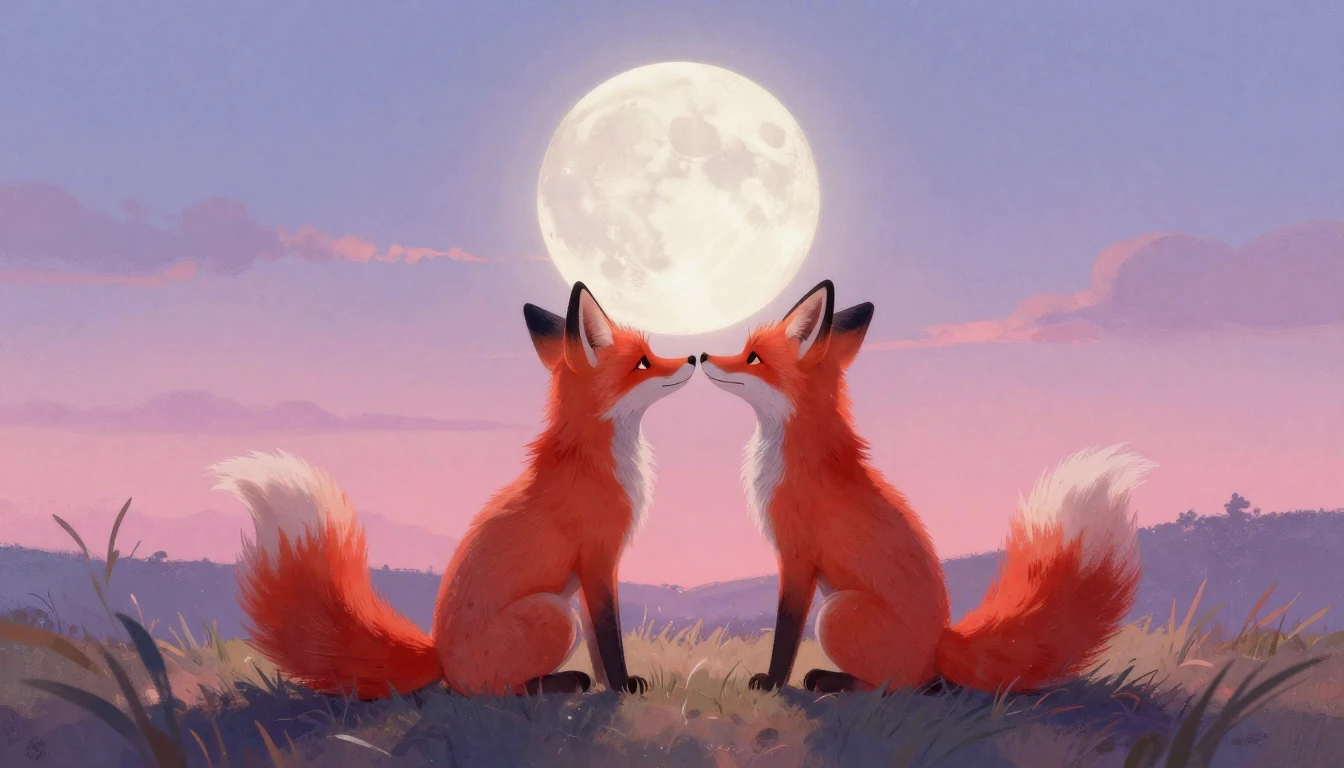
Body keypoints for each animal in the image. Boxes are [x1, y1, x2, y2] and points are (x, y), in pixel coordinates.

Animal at [210, 282, 696, 700]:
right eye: (644, 362)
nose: (693, 357)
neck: (594, 460)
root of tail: (438, 656)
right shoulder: (598, 560)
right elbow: (609, 638)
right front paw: (621, 686)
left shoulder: (590, 571)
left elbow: (601, 644)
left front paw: (613, 684)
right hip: (557, 616)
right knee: (488, 690)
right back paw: (562, 683)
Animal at [699, 279, 1155, 695]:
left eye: (752, 356)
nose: (701, 354)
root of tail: (940, 644)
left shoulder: (796, 557)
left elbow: (786, 633)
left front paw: (772, 682)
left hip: (835, 613)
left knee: (904, 686)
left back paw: (832, 680)